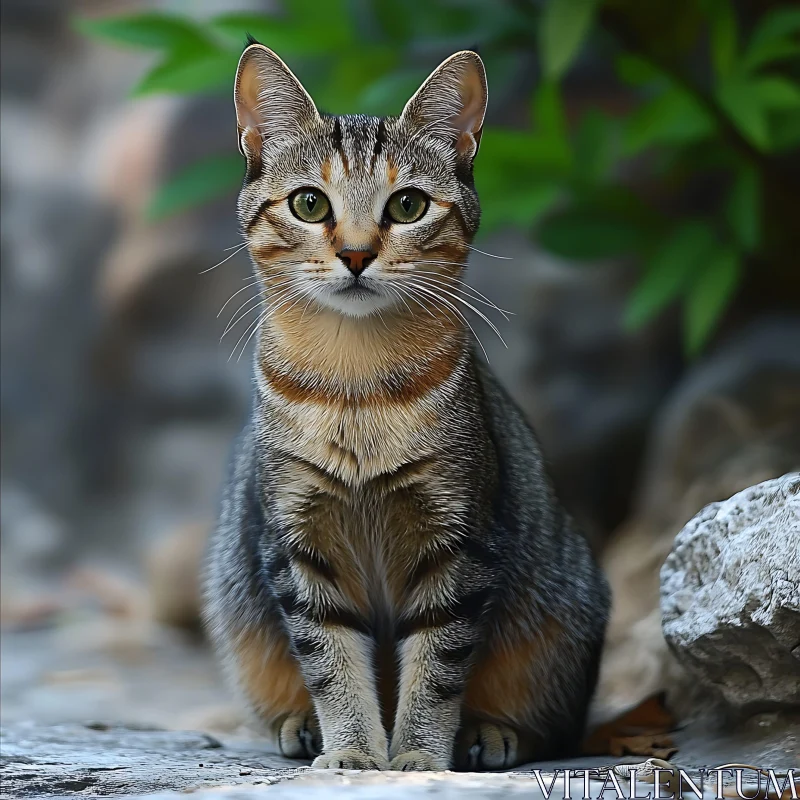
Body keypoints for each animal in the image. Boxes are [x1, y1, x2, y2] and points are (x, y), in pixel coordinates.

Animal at [203, 40, 608, 772]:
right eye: (309, 204)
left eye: (408, 205)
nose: (357, 253)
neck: (356, 387)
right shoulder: (298, 541)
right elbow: (331, 660)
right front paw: (352, 752)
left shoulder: (460, 540)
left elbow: (436, 666)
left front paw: (418, 756)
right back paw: (299, 726)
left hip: (562, 617)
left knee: (552, 721)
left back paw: (490, 733)